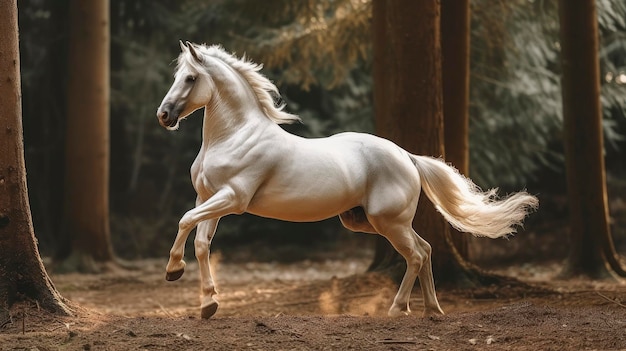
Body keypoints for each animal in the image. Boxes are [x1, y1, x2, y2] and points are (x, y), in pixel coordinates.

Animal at [155, 40, 536, 320]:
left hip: (388, 221)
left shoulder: (232, 198)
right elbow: (201, 242)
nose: (164, 116)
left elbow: (184, 221)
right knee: (426, 249)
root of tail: (408, 157)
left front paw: (173, 270)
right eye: (177, 76)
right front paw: (208, 304)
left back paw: (397, 309)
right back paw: (432, 309)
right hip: (371, 222)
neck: (232, 137)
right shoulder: (208, 199)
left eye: (190, 78)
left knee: (414, 254)